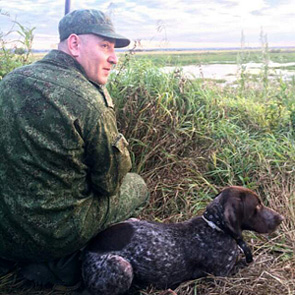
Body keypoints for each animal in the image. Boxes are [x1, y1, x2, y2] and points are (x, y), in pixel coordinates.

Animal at [81, 186, 284, 294]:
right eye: (256, 207)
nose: (281, 218)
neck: (215, 227)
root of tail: (86, 251)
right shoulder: (222, 276)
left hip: (133, 220)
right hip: (122, 266)